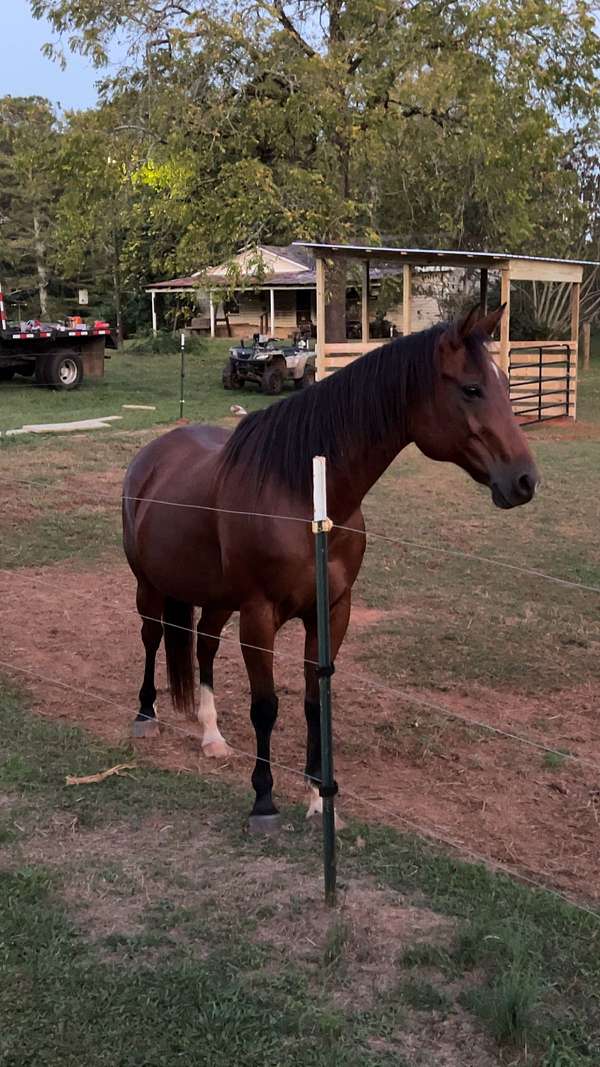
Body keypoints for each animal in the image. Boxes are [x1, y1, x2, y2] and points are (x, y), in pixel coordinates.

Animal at [122, 306, 539, 830]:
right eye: (471, 389)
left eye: (504, 383)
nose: (525, 480)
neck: (307, 497)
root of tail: (151, 455)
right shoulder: (259, 616)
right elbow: (266, 706)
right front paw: (264, 801)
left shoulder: (332, 611)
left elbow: (314, 701)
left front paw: (320, 797)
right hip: (148, 586)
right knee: (151, 637)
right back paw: (145, 717)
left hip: (217, 600)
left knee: (204, 648)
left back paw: (212, 736)